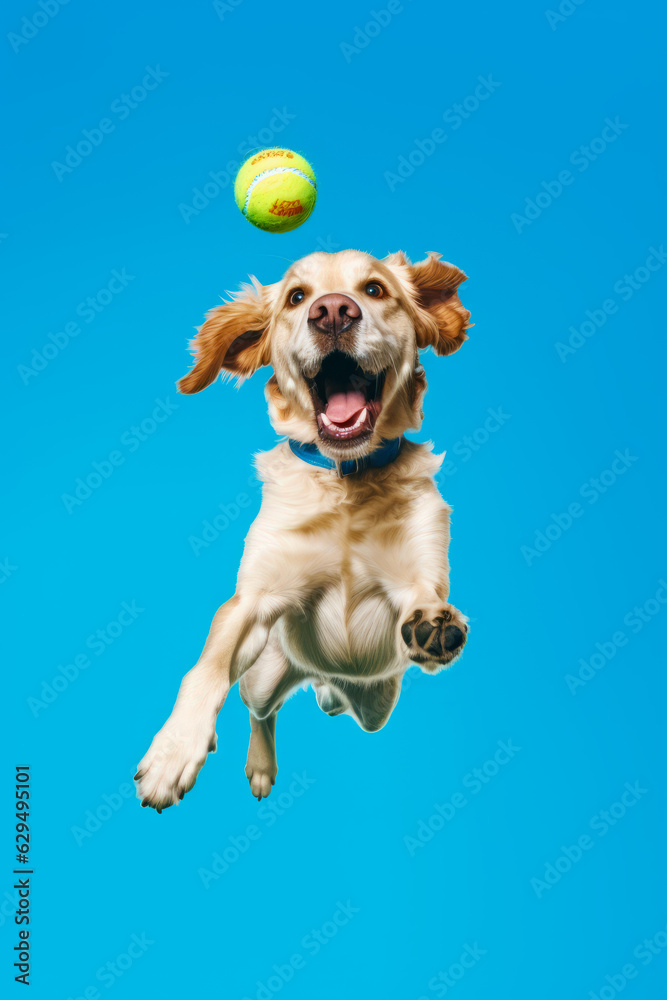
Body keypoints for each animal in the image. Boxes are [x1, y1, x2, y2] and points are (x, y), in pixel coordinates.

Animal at [134, 250, 470, 812]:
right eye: (296, 296)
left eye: (375, 289)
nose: (333, 312)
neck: (347, 481)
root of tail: (323, 676)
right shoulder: (251, 601)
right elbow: (205, 671)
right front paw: (172, 752)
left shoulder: (417, 576)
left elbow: (425, 599)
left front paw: (434, 625)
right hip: (267, 674)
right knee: (260, 710)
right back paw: (260, 765)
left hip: (377, 703)